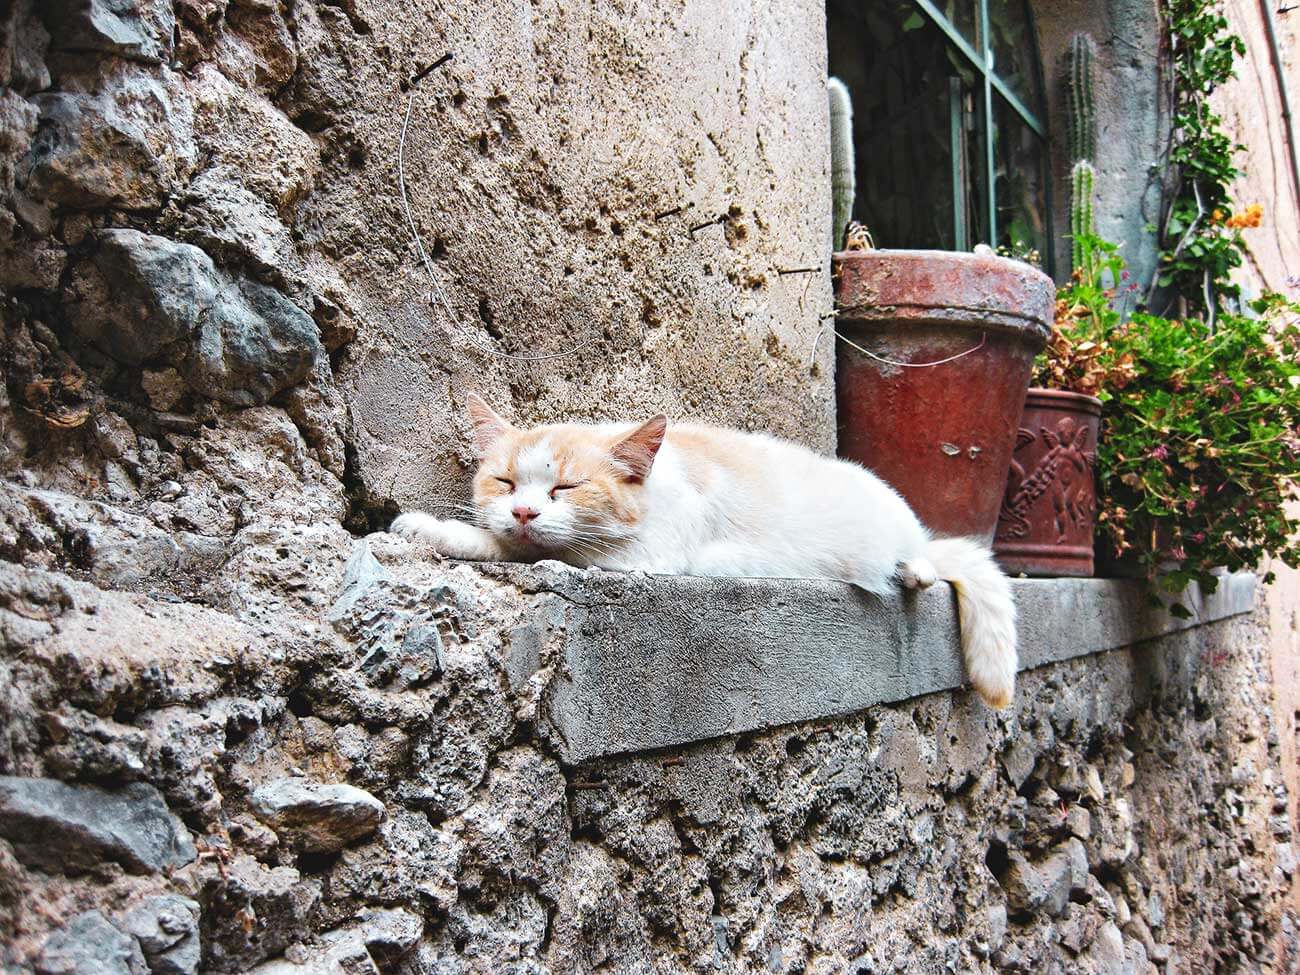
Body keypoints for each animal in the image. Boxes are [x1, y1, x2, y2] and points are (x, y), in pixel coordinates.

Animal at [390, 395, 1019, 712]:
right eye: (503, 481)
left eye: (565, 488)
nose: (523, 512)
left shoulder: (646, 555)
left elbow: (535, 550)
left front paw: (449, 531)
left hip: (896, 522)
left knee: (927, 553)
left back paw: (914, 569)